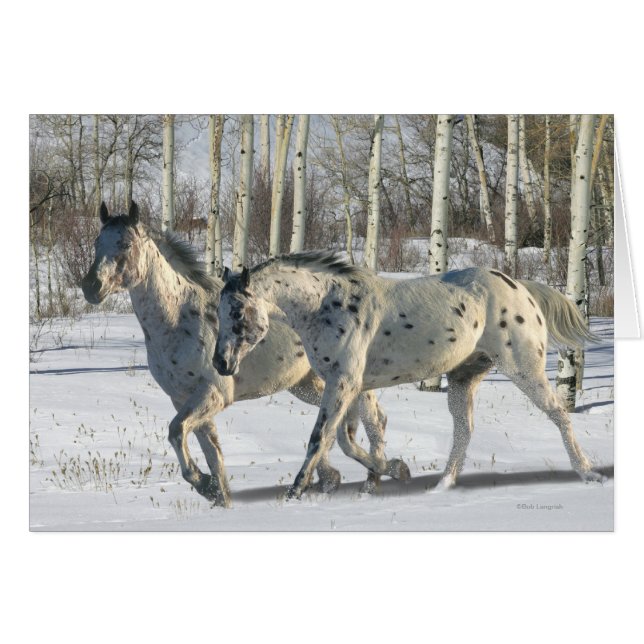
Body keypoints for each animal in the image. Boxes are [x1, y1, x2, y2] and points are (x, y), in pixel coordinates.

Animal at [81, 203, 400, 507]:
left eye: (125, 244)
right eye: (97, 242)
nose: (91, 287)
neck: (178, 320)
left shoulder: (213, 394)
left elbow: (176, 431)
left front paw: (204, 485)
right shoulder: (183, 398)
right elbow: (212, 456)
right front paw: (217, 495)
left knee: (374, 420)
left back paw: (378, 480)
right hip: (309, 384)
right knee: (351, 423)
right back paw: (339, 478)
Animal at [213, 250, 605, 501]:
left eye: (238, 312)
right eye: (218, 311)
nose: (220, 363)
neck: (327, 306)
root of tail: (520, 287)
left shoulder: (344, 384)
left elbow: (322, 437)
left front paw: (296, 491)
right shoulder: (351, 386)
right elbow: (349, 439)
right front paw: (390, 472)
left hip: (524, 369)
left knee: (559, 414)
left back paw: (588, 474)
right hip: (464, 378)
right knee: (464, 431)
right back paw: (442, 487)